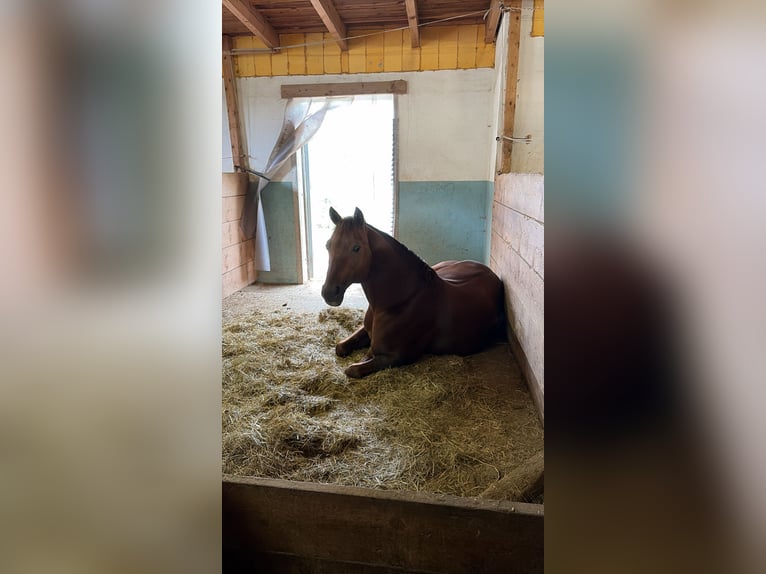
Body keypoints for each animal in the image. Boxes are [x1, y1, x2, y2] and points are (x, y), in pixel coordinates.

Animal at [321, 207, 506, 378]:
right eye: (328, 245)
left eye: (356, 248)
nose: (329, 293)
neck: (403, 299)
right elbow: (340, 347)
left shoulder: (399, 355)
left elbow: (354, 368)